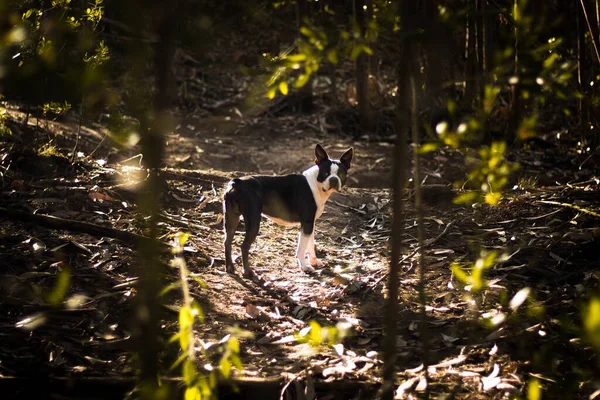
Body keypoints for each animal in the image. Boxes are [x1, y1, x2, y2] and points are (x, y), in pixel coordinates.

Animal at [223, 145, 354, 278]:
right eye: (325, 173)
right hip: (253, 220)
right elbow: (301, 248)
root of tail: (237, 183)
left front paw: (314, 261)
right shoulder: (307, 223)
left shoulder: (310, 224)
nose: (333, 179)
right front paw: (305, 267)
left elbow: (310, 244)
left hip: (231, 217)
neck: (316, 184)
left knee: (227, 241)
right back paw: (247, 272)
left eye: (341, 174)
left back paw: (230, 267)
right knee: (244, 246)